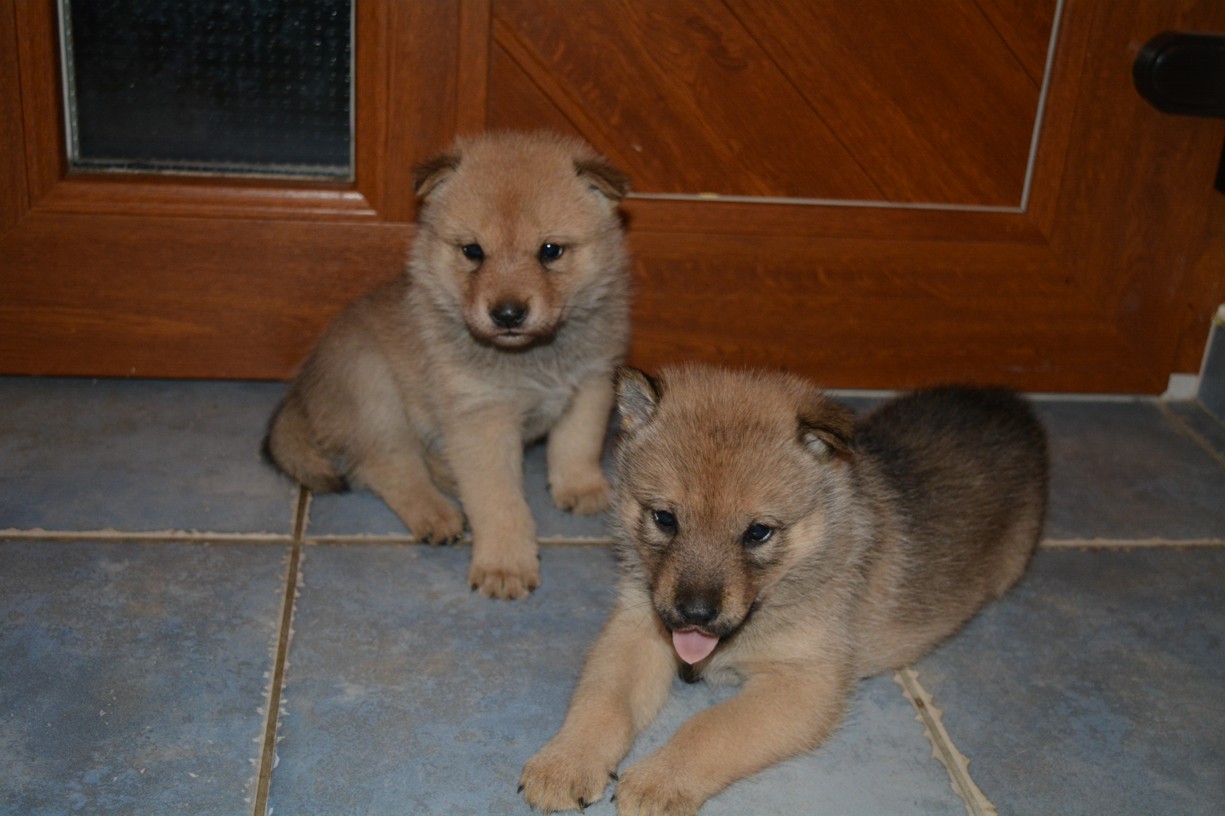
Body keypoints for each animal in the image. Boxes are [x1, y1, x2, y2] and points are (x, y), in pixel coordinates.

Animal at [264, 131, 632, 600]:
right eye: (472, 251)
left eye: (550, 250)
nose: (507, 314)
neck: (533, 357)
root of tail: (301, 390)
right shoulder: (482, 418)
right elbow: (499, 501)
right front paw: (505, 565)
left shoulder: (591, 383)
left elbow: (576, 445)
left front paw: (582, 488)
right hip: (375, 396)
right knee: (388, 468)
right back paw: (437, 515)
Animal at [521, 364, 1048, 813]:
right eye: (664, 518)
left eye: (758, 532)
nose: (694, 615)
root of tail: (1008, 404)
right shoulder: (637, 630)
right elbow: (602, 699)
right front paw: (565, 763)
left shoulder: (802, 683)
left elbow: (711, 727)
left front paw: (660, 780)